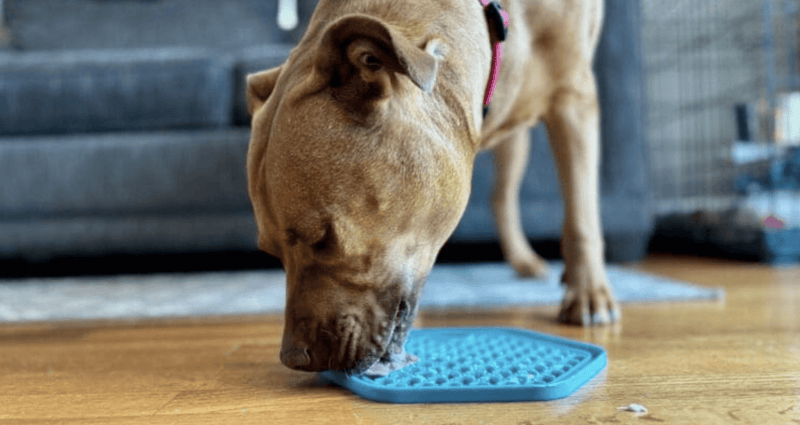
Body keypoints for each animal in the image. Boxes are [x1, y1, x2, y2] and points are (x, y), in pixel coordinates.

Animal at [247, 0, 620, 372]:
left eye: (324, 240)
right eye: (272, 252)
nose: (295, 358)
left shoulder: (575, 100)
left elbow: (582, 218)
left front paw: (589, 295)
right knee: (500, 197)